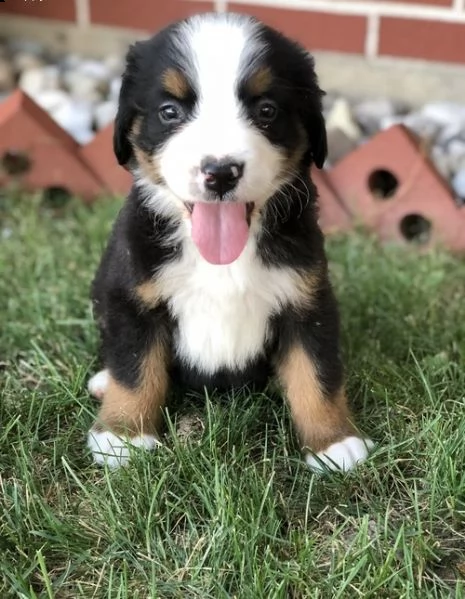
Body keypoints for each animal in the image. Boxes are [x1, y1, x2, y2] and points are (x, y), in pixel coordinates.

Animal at [87, 11, 374, 474]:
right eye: (169, 111)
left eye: (266, 110)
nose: (220, 172)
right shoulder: (133, 296)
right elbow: (133, 368)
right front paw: (122, 435)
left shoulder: (307, 300)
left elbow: (317, 373)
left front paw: (333, 442)